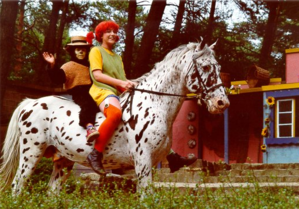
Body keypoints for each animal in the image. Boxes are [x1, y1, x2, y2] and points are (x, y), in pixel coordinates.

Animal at [0, 40, 230, 194]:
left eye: (219, 67)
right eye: (206, 67)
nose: (222, 103)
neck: (154, 104)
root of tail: (30, 103)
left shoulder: (150, 163)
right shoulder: (142, 162)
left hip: (63, 161)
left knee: (51, 193)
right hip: (31, 153)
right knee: (17, 186)